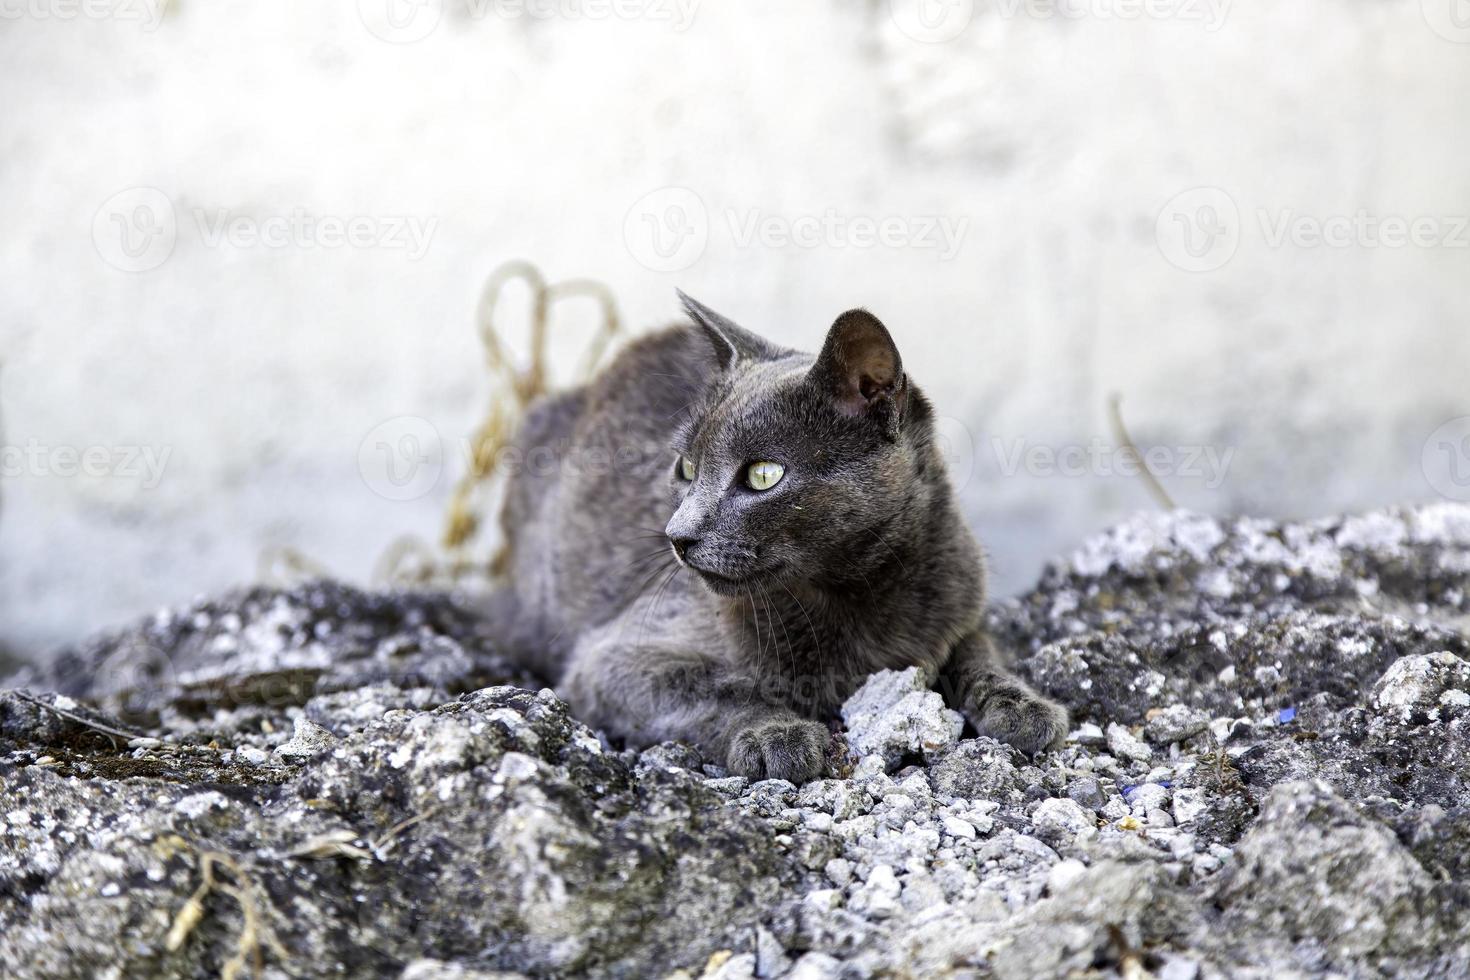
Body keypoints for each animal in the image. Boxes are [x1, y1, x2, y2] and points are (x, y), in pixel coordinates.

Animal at [488, 293, 1064, 781]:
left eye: (764, 475)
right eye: (686, 468)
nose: (676, 535)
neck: (851, 595)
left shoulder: (957, 603)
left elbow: (977, 651)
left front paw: (1023, 705)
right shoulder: (609, 658)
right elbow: (716, 686)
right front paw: (777, 733)